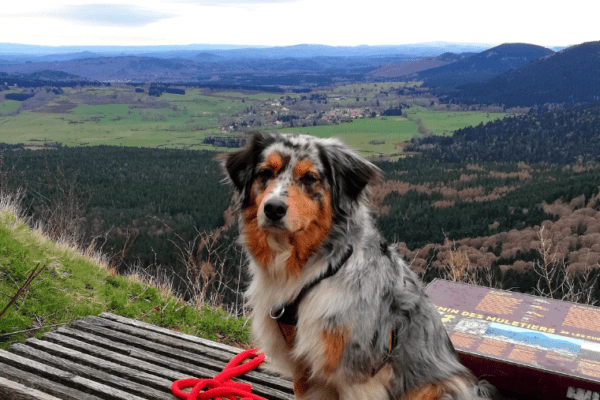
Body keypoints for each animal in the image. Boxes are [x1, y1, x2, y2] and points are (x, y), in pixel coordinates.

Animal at [218, 132, 500, 400]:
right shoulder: (305, 368)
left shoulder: (359, 374)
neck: (311, 271)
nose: (273, 209)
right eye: (265, 173)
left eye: (309, 178)